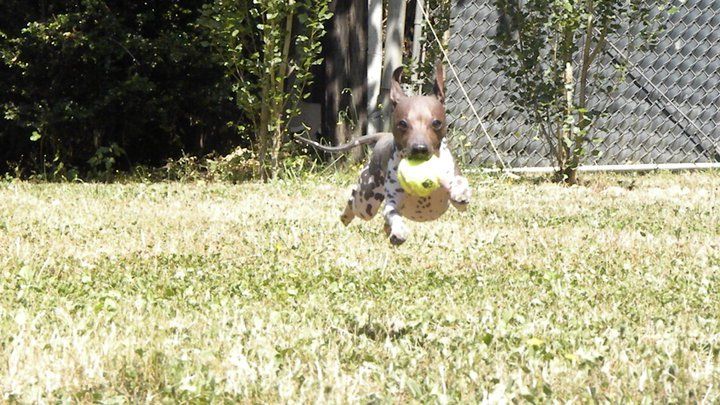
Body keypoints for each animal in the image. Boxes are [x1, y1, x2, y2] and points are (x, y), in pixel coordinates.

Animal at [296, 63, 470, 245]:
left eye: (436, 123)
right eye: (403, 123)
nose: (420, 148)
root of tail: (382, 136)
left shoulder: (457, 200)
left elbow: (458, 185)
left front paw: (460, 191)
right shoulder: (392, 203)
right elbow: (392, 214)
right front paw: (399, 231)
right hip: (366, 203)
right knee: (354, 200)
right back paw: (346, 217)